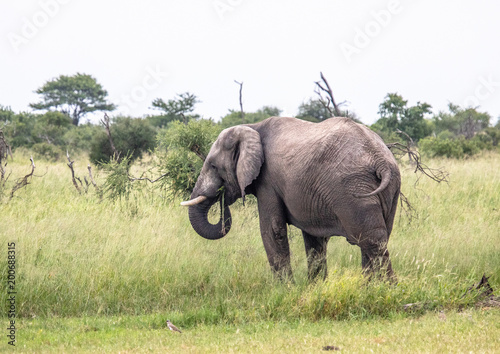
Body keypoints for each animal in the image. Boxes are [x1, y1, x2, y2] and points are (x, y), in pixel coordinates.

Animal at [182, 117, 400, 280]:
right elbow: (314, 239)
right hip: (390, 188)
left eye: (212, 165)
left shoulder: (267, 181)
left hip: (352, 189)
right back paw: (368, 289)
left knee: (371, 240)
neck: (252, 127)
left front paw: (284, 290)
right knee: (377, 238)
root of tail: (380, 160)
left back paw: (386, 291)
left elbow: (272, 230)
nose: (221, 194)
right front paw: (315, 288)